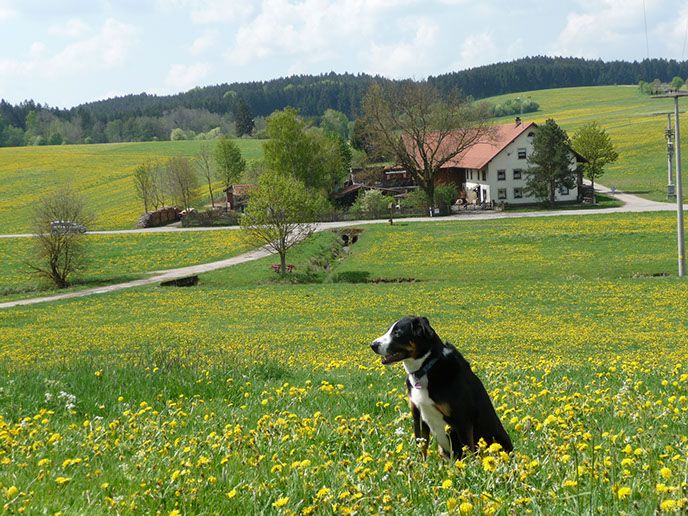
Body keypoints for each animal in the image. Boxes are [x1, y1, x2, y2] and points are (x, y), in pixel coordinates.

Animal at [370, 316, 510, 458]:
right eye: (389, 330)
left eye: (397, 333)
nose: (373, 345)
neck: (425, 370)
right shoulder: (418, 417)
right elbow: (422, 449)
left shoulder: (462, 421)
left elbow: (467, 453)